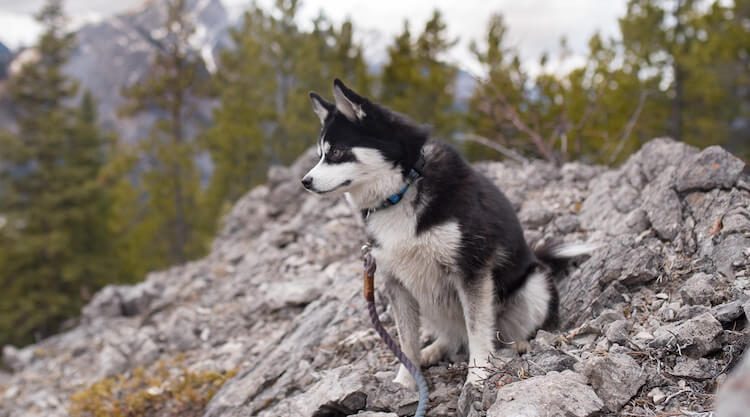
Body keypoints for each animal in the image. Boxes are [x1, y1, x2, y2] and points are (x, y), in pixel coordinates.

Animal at [300, 80, 592, 386]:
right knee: (454, 336)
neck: (402, 191)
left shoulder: (471, 270)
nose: (305, 181)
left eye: (336, 152)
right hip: (429, 300)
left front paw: (477, 374)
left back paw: (520, 345)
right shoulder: (397, 282)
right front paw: (406, 380)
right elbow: (407, 340)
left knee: (510, 331)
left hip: (533, 287)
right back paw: (433, 350)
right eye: (320, 155)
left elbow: (477, 328)